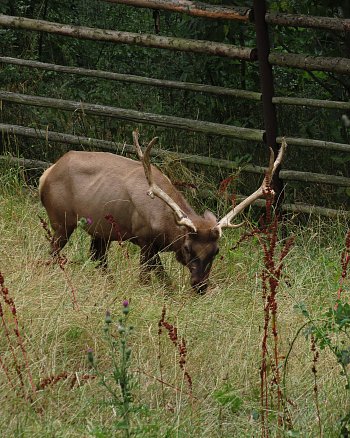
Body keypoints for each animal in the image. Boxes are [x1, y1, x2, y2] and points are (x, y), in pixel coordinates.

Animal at [39, 131, 286, 294]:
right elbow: (150, 278)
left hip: (101, 231)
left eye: (216, 251)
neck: (167, 228)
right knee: (53, 252)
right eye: (187, 248)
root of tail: (46, 174)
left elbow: (164, 280)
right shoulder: (144, 239)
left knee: (98, 258)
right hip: (61, 220)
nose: (200, 286)